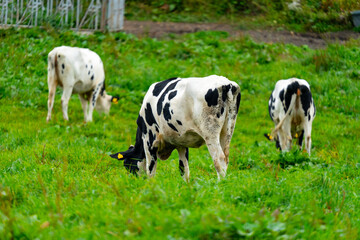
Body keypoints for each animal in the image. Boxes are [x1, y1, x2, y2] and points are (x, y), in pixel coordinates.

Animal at [108, 75, 240, 180]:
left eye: (128, 165)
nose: (134, 182)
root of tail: (226, 84)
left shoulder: (149, 140)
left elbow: (150, 169)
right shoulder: (181, 143)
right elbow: (184, 169)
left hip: (210, 133)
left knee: (219, 159)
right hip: (228, 130)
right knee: (226, 157)